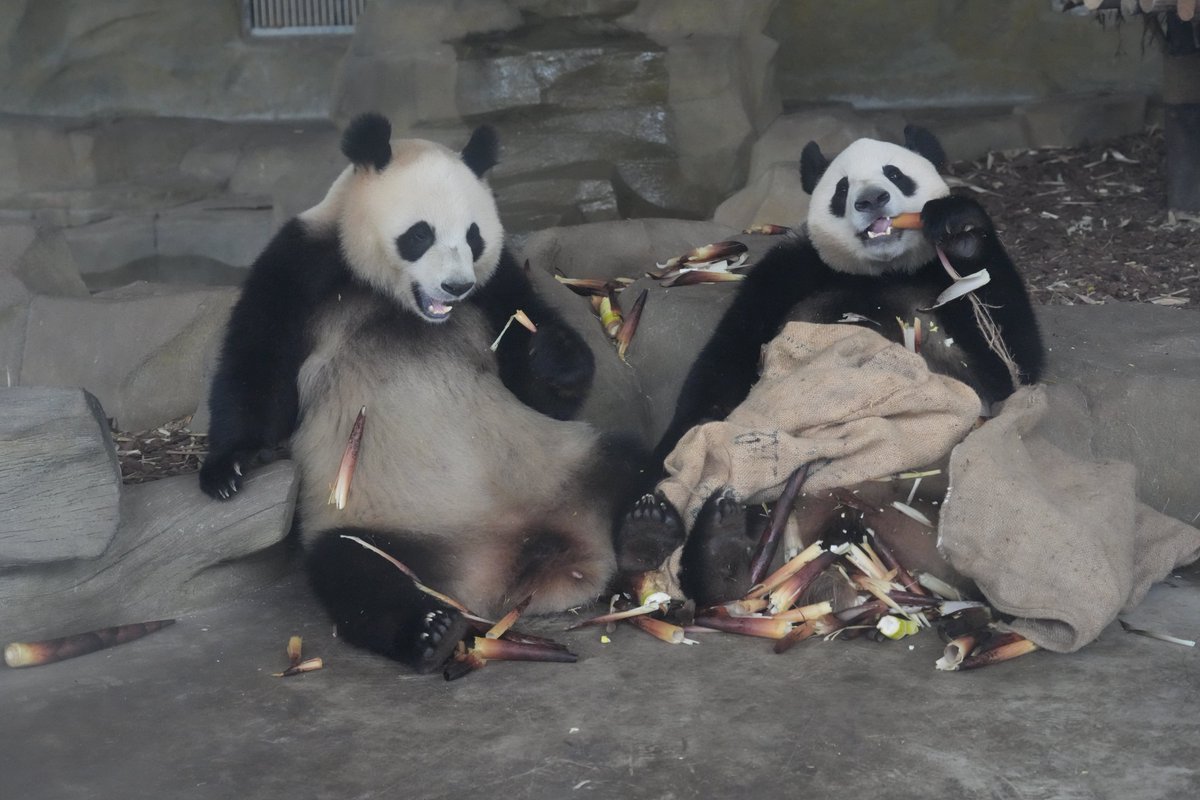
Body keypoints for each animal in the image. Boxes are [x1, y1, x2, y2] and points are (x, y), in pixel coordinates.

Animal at [199, 112, 657, 671]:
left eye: (474, 236)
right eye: (420, 234)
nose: (456, 287)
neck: (401, 304)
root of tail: (518, 571)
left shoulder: (497, 285)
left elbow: (536, 377)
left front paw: (555, 354)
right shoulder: (304, 264)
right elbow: (259, 365)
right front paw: (228, 466)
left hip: (566, 461)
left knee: (630, 460)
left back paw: (650, 528)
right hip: (375, 519)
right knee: (355, 573)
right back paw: (429, 631)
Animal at [624, 122, 1046, 604]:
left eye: (895, 174)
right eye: (842, 189)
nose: (872, 200)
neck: (882, 271)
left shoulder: (940, 285)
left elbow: (1008, 366)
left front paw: (961, 230)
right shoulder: (787, 273)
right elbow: (723, 366)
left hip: (935, 490)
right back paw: (683, 540)